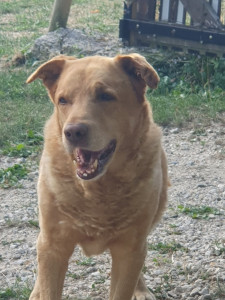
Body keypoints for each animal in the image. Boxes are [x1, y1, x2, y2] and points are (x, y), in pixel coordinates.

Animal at [26, 54, 168, 300]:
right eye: (63, 100)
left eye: (105, 96)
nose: (73, 132)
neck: (96, 190)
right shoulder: (54, 245)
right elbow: (48, 279)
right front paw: (41, 290)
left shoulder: (129, 249)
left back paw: (141, 289)